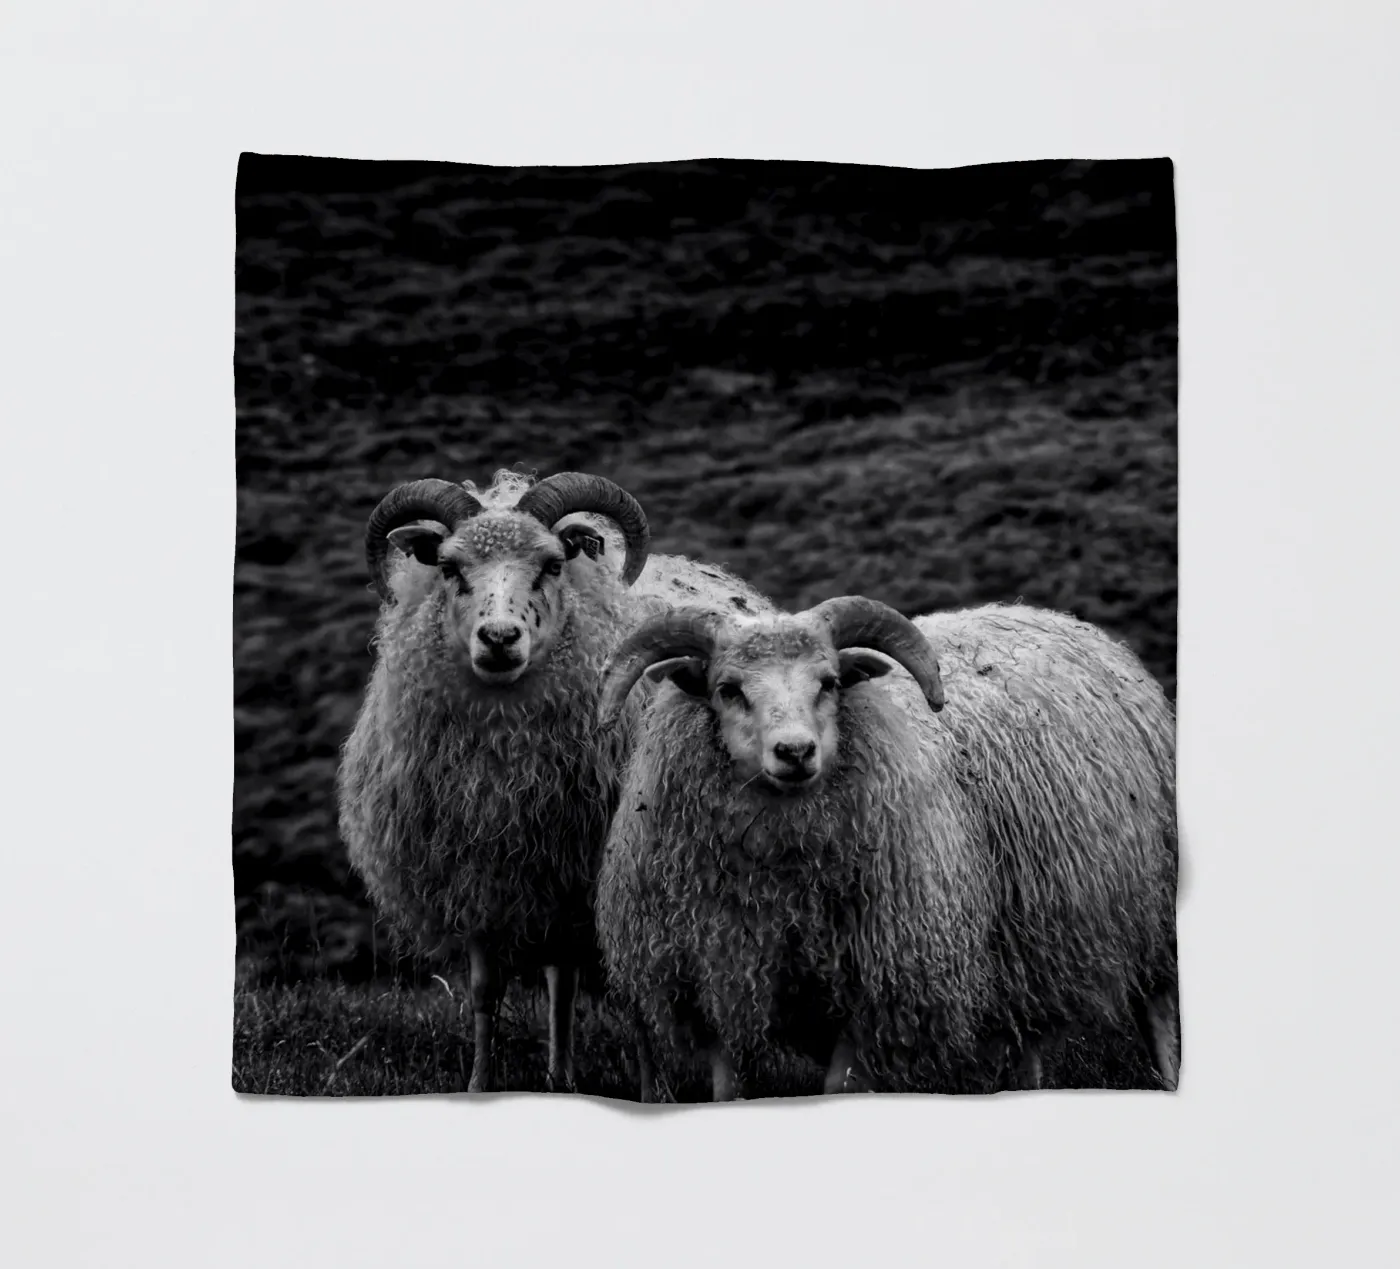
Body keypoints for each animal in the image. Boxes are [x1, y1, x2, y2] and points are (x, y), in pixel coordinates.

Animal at [336, 468, 772, 1092]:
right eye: (449, 567)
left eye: (551, 564)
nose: (499, 638)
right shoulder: (480, 874)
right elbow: (484, 991)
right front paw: (479, 1084)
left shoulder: (602, 870)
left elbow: (630, 997)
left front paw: (651, 1090)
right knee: (559, 979)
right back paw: (559, 1074)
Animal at [594, 597, 1178, 1100]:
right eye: (728, 689)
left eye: (830, 683)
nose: (796, 752)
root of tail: (1054, 616)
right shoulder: (715, 983)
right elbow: (727, 1087)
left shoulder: (879, 991)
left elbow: (838, 1088)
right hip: (1025, 942)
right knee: (1027, 1038)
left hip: (1154, 909)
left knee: (1158, 1012)